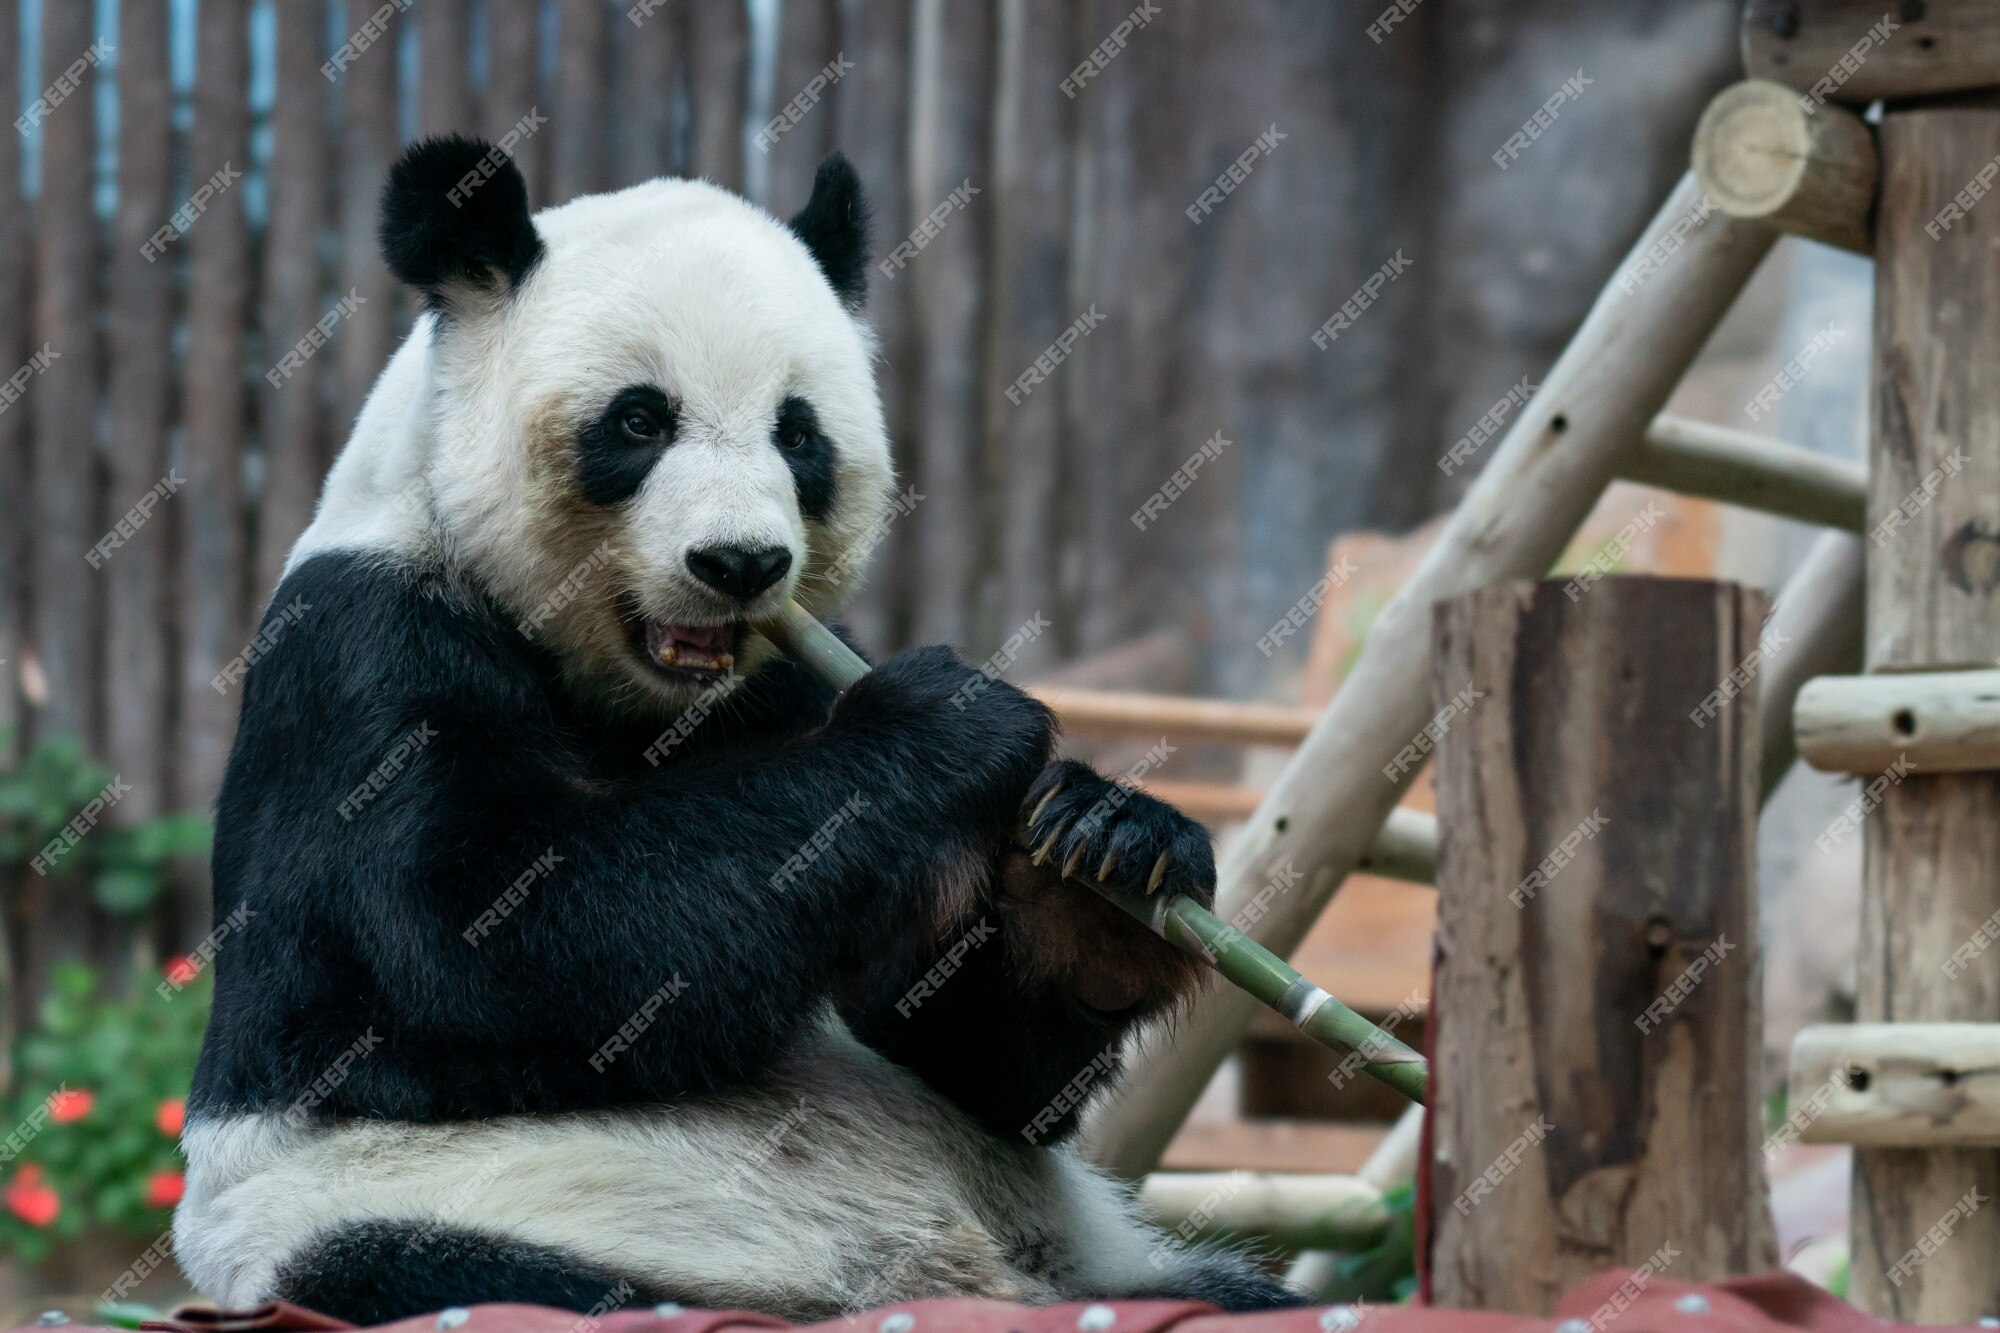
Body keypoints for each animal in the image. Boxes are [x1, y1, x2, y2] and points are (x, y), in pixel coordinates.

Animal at [172, 135, 1296, 1320]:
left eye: (797, 434)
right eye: (638, 420)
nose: (741, 563)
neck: (637, 698)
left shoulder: (788, 680)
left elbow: (965, 1052)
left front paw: (1097, 857)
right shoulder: (366, 650)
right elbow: (476, 939)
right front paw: (946, 722)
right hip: (407, 1211)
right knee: (459, 1267)